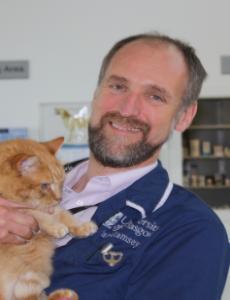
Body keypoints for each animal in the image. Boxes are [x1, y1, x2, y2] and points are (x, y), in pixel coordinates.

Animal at [0, 138, 96, 300]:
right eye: (45, 185)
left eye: (62, 182)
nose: (59, 198)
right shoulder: (19, 207)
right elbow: (35, 213)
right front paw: (55, 226)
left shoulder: (53, 208)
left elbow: (64, 215)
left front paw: (81, 227)